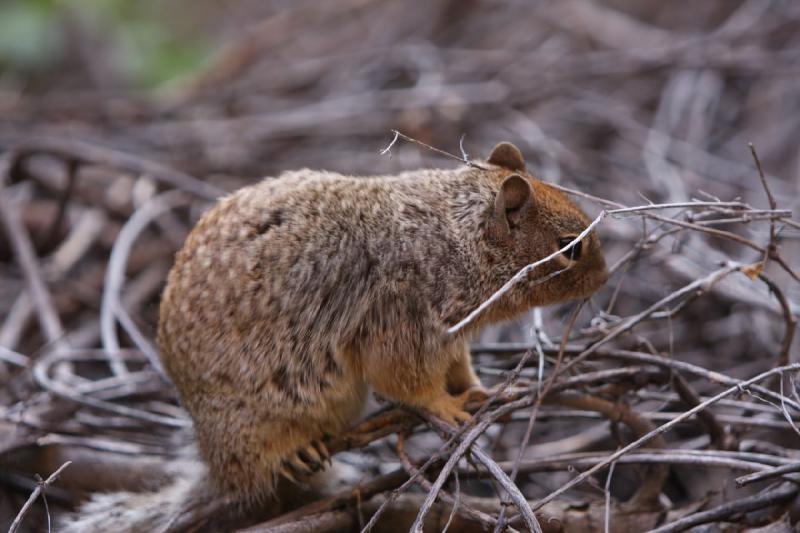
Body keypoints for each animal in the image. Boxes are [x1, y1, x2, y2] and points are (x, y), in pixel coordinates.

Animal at [61, 139, 608, 528]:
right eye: (570, 247)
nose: (605, 277)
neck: (453, 236)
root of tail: (215, 464)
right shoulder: (401, 323)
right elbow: (409, 382)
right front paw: (446, 406)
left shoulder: (449, 336)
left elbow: (460, 368)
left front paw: (480, 390)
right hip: (255, 425)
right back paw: (293, 452)